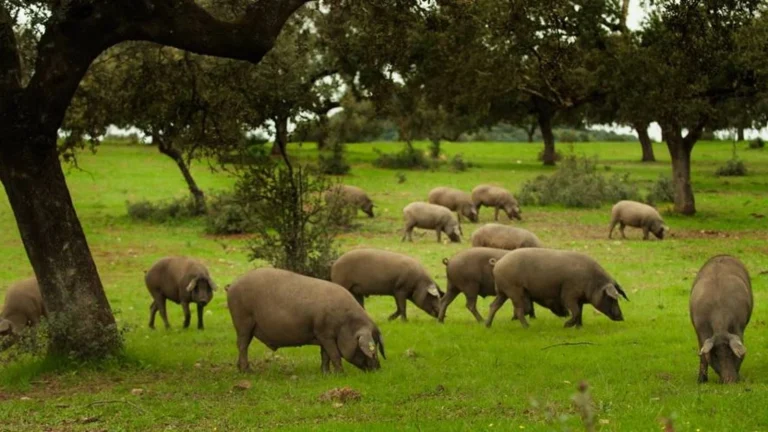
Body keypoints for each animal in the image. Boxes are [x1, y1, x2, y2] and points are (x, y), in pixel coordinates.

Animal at [226, 268, 385, 373]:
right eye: (372, 348)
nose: (378, 368)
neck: (345, 323)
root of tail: (232, 286)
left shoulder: (321, 334)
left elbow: (325, 355)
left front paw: (326, 374)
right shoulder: (325, 333)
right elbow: (334, 354)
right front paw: (341, 374)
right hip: (243, 320)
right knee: (242, 345)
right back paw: (247, 371)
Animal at [487, 248, 628, 329]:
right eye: (611, 298)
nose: (622, 317)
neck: (592, 281)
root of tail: (498, 262)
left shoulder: (579, 299)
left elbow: (580, 312)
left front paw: (579, 328)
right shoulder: (569, 296)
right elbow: (576, 311)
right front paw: (566, 326)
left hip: (503, 292)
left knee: (493, 305)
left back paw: (487, 325)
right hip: (514, 291)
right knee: (519, 310)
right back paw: (527, 327)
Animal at [690, 255, 752, 384]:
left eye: (732, 353)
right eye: (715, 355)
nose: (729, 380)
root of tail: (723, 255)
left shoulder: (738, 327)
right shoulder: (700, 329)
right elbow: (703, 355)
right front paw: (701, 381)